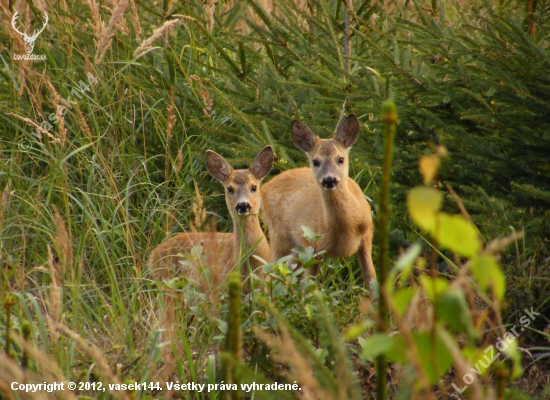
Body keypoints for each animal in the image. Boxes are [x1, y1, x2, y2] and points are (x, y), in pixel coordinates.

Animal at [260, 115, 378, 284]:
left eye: (340, 159)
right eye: (315, 162)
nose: (329, 180)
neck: (346, 227)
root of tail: (264, 187)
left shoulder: (367, 235)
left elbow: (370, 277)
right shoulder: (313, 246)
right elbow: (310, 285)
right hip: (279, 236)